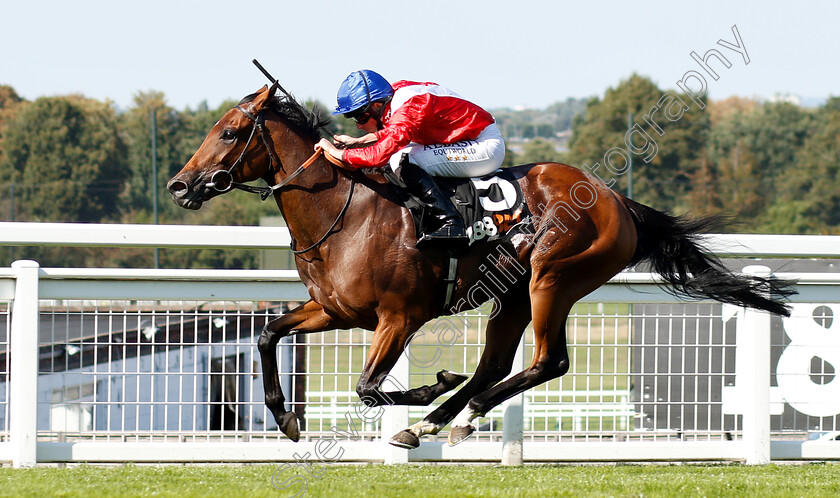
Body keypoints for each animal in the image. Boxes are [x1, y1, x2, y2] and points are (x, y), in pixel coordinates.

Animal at [166, 81, 796, 448]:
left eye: (229, 132)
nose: (180, 185)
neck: (346, 212)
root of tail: (619, 201)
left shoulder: (400, 317)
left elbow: (369, 387)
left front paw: (426, 388)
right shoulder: (336, 310)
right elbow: (268, 334)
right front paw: (286, 417)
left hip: (552, 280)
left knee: (548, 362)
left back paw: (454, 414)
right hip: (512, 294)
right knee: (495, 365)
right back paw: (442, 417)